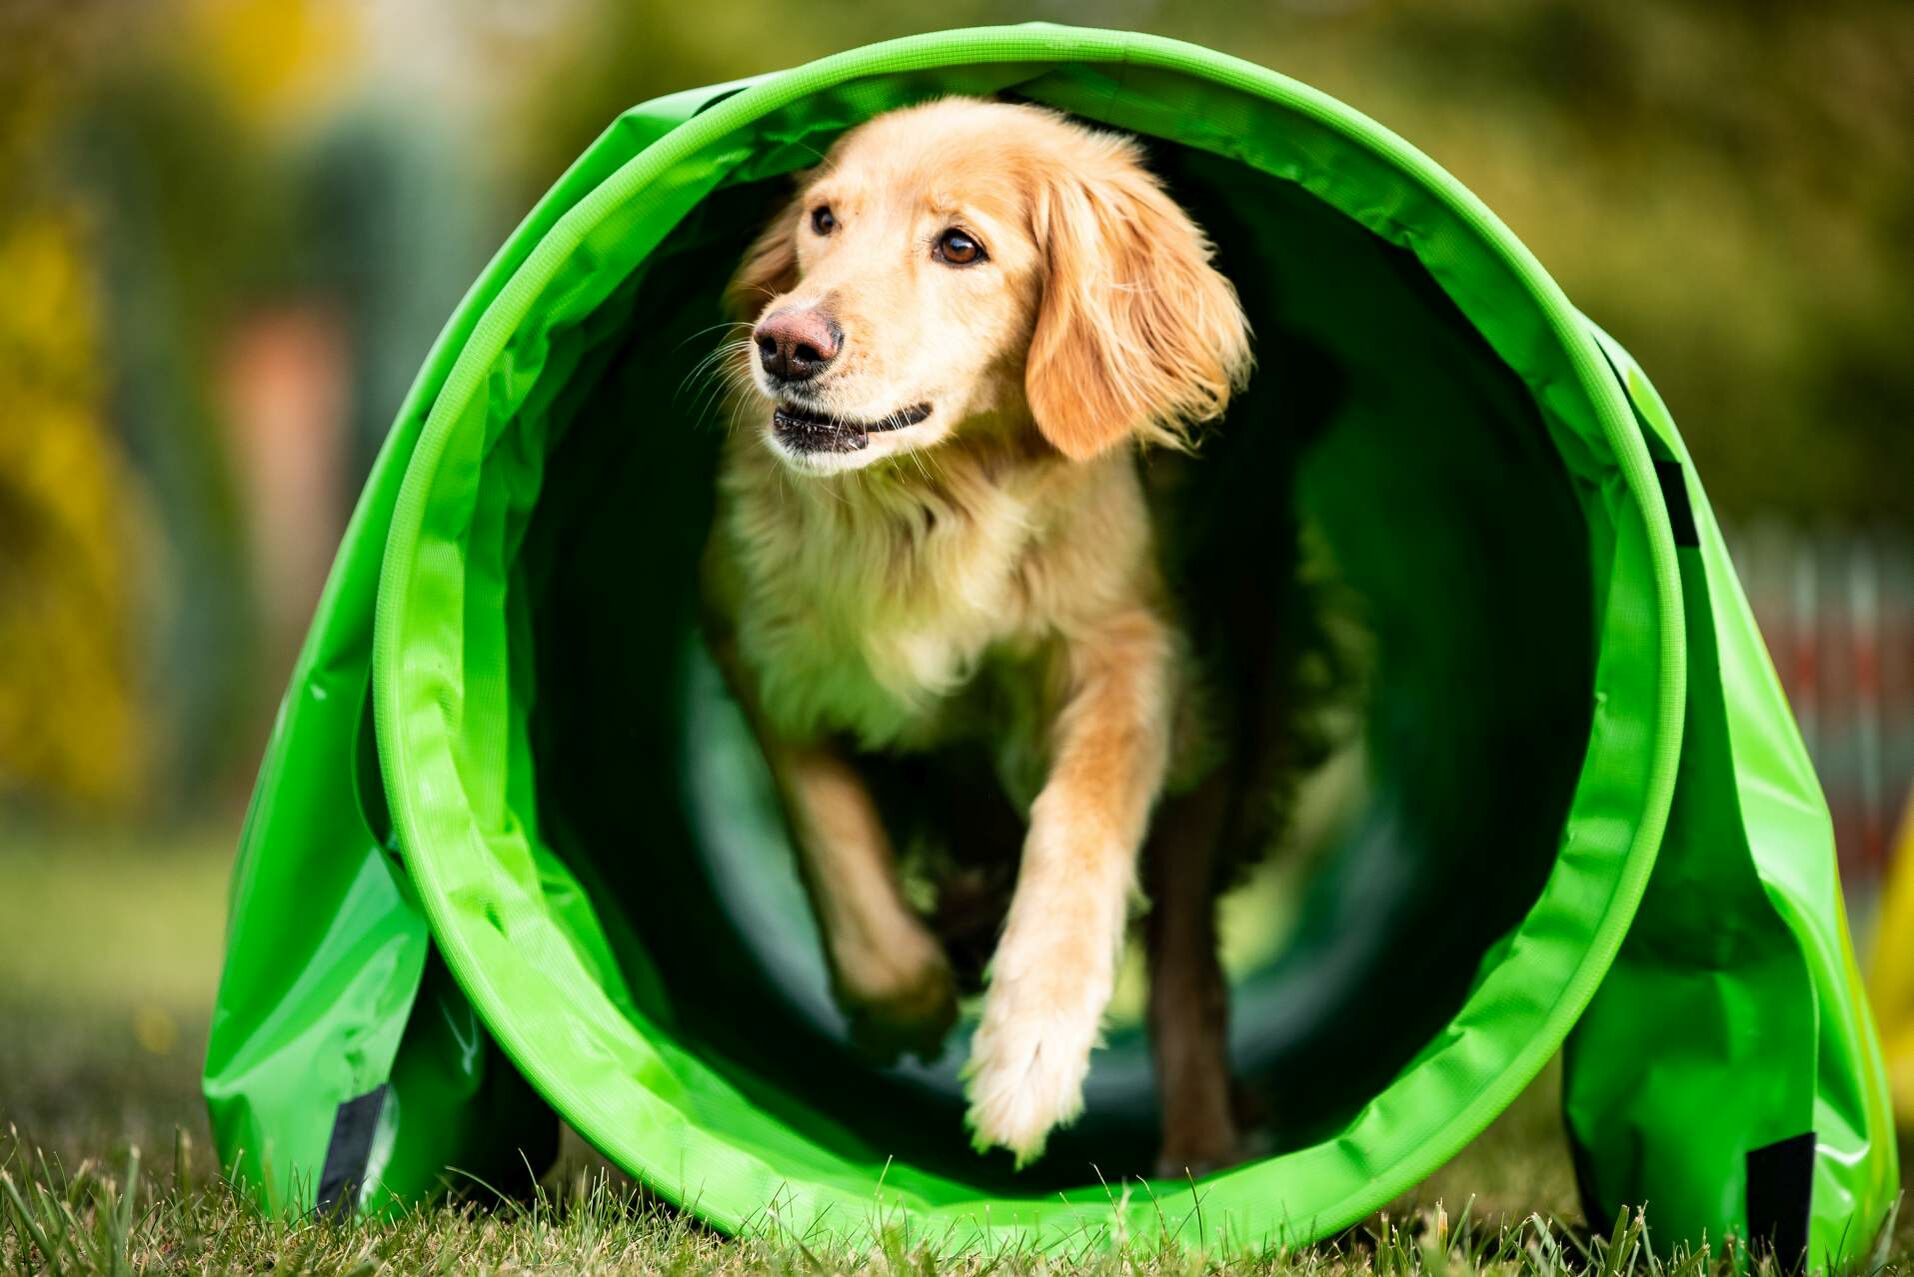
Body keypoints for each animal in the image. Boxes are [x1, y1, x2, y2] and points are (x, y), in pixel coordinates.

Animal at [704, 100, 1255, 1171]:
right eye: (823, 219)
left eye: (960, 246)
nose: (784, 342)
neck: (932, 501)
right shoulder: (753, 633)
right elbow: (833, 833)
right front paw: (908, 1002)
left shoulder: (1132, 645)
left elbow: (1082, 824)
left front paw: (1027, 1057)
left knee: (1188, 972)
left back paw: (1202, 1151)